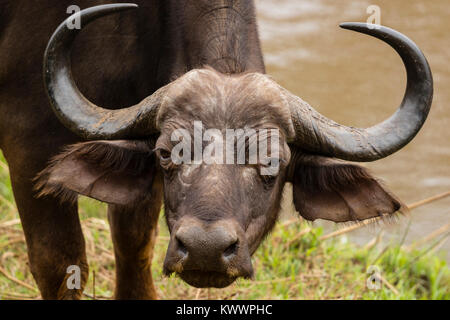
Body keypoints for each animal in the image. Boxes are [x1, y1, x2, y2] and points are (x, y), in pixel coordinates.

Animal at [0, 1, 432, 298]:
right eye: (166, 154)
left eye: (272, 162)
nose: (205, 249)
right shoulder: (27, 140)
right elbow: (59, 263)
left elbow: (134, 247)